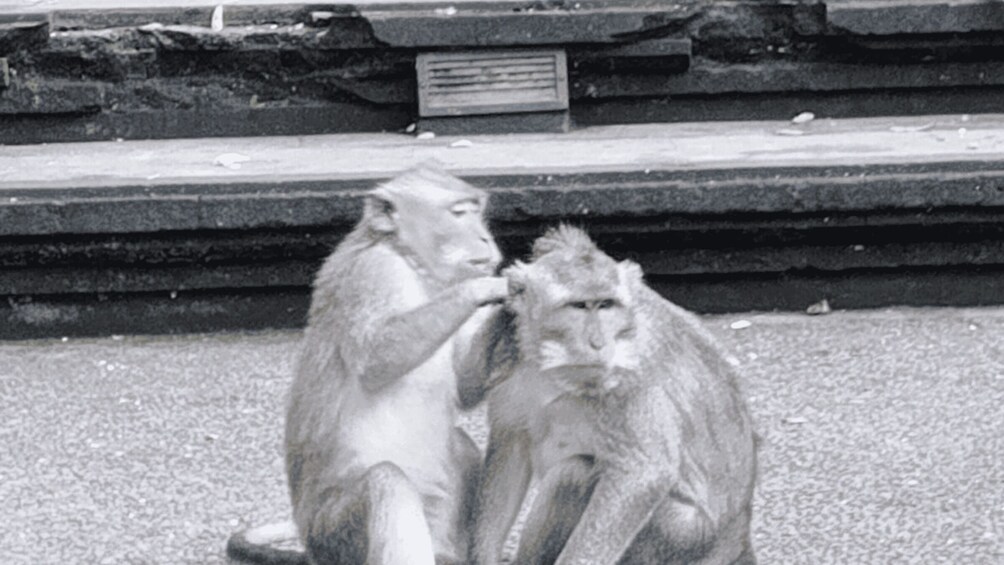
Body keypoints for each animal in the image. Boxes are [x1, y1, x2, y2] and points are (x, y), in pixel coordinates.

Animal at [226, 162, 507, 565]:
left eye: (477, 210)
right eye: (458, 214)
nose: (485, 238)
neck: (411, 264)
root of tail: (311, 546)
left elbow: (464, 384)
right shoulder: (375, 274)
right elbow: (377, 358)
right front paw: (487, 289)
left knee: (462, 448)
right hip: (335, 534)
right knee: (386, 482)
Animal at [470, 225, 758, 565]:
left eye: (605, 305)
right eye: (579, 306)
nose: (598, 343)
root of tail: (737, 538)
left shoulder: (629, 375)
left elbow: (643, 474)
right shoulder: (509, 354)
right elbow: (511, 444)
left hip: (677, 538)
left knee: (575, 473)